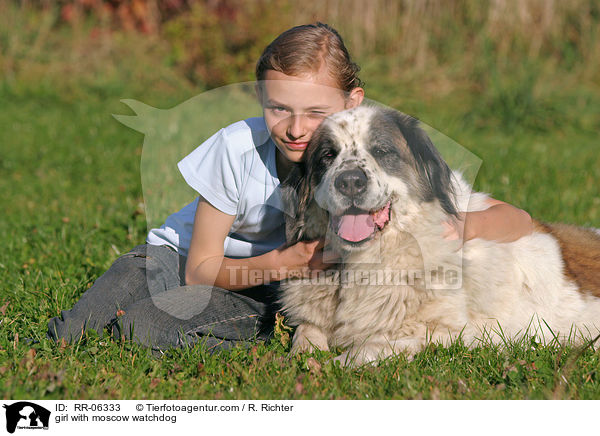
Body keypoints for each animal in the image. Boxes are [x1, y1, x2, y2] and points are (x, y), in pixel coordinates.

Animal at [278, 105, 600, 368]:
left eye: (381, 151)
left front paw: (331, 364)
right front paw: (303, 355)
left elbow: (371, 346)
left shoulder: (456, 334)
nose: (350, 182)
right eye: (328, 156)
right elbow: (305, 334)